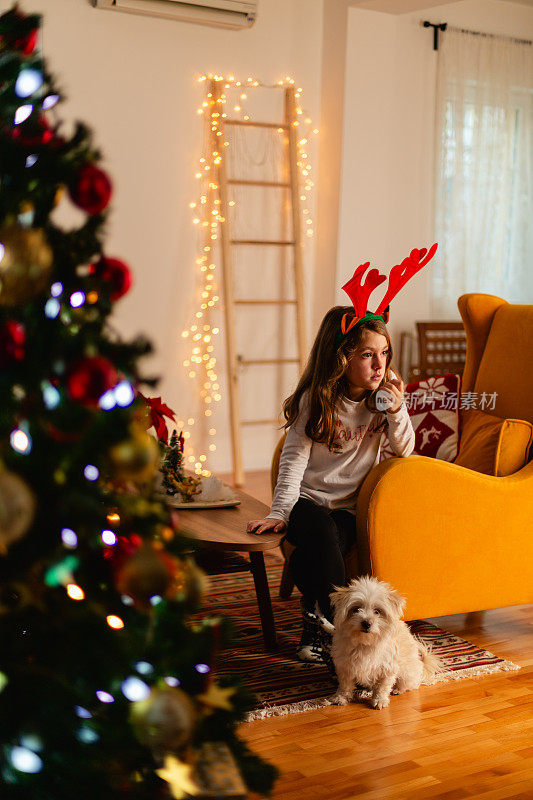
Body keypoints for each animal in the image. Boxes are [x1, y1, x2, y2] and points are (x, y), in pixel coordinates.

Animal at [328, 576, 440, 708]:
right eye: (356, 609)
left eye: (377, 611)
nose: (366, 623)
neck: (365, 644)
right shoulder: (345, 666)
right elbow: (345, 685)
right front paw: (341, 698)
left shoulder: (387, 667)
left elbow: (382, 687)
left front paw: (379, 700)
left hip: (407, 672)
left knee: (410, 685)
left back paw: (398, 689)